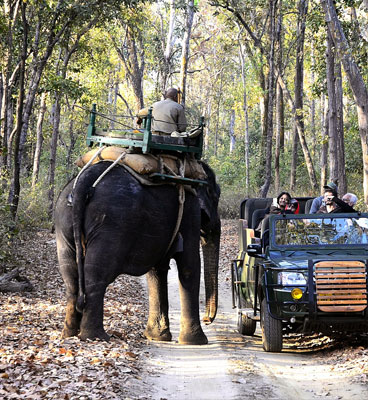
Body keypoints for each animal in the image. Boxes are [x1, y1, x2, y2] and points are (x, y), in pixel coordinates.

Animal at [54, 159, 220, 344]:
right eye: (216, 197)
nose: (207, 319)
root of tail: (85, 180)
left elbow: (157, 269)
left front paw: (157, 337)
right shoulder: (190, 211)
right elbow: (189, 264)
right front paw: (196, 341)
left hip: (63, 221)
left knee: (70, 276)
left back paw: (69, 333)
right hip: (112, 223)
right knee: (96, 275)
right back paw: (96, 337)